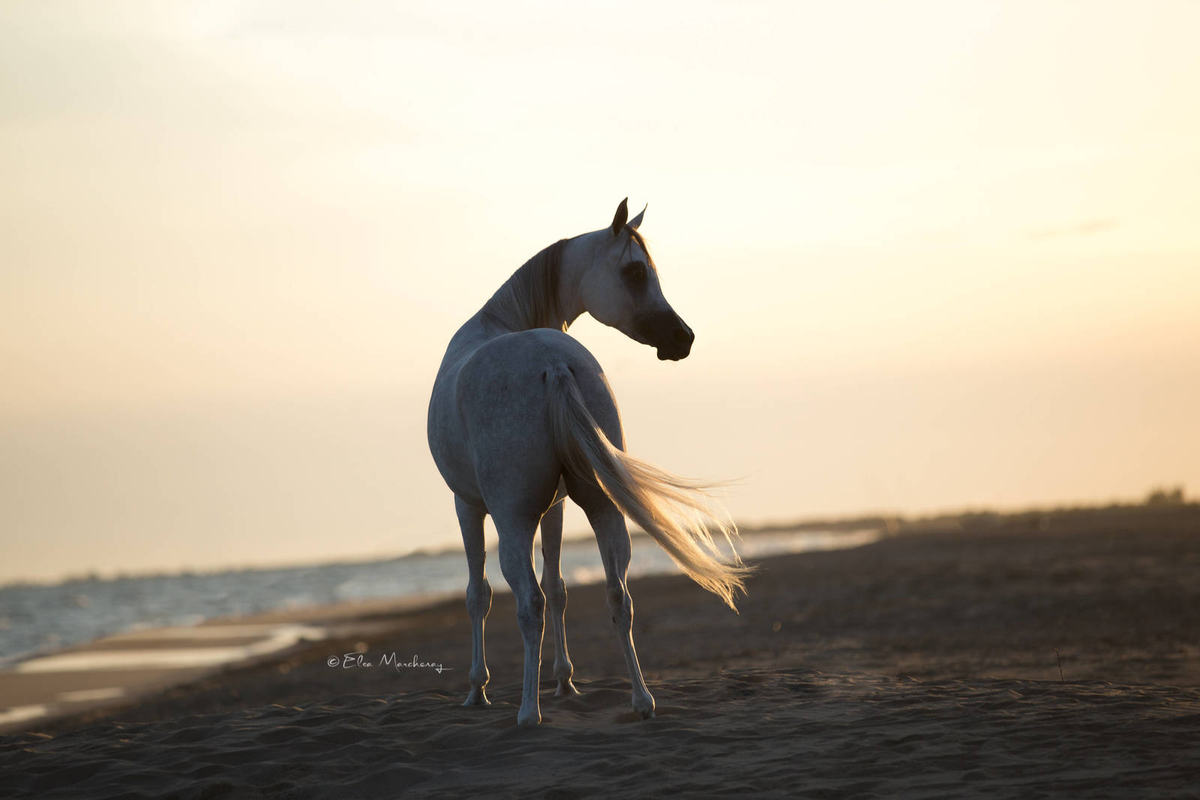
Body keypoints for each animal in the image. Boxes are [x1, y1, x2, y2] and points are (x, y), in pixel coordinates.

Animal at [426, 198, 751, 726]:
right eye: (636, 272)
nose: (682, 338)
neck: (498, 321)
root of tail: (553, 364)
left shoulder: (468, 505)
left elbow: (480, 595)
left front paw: (478, 689)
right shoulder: (555, 507)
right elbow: (560, 588)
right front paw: (565, 681)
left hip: (514, 520)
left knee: (528, 603)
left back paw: (528, 712)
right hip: (601, 508)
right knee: (617, 597)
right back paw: (641, 700)